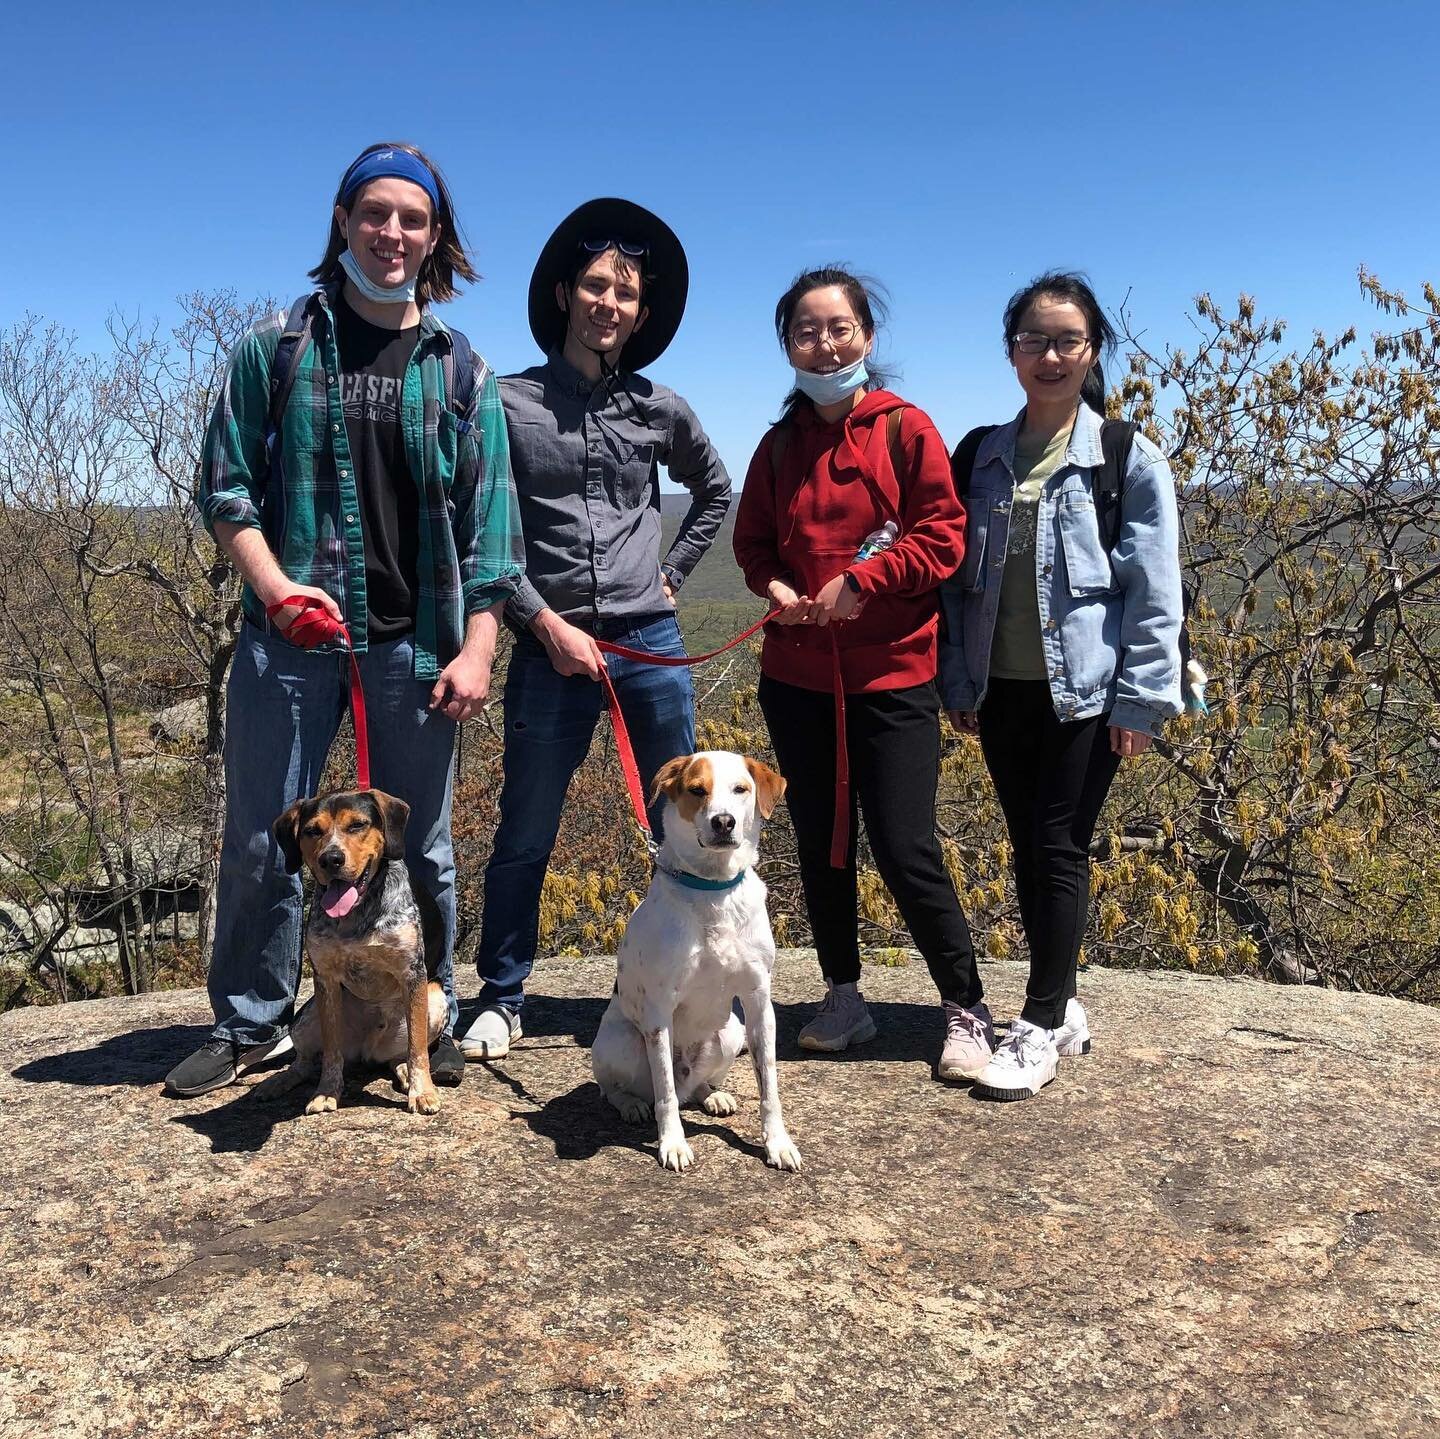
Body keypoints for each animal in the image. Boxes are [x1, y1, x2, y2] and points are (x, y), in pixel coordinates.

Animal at [259, 795, 446, 1117]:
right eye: (311, 830)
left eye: (358, 825)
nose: (331, 859)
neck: (357, 914)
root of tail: (366, 1052)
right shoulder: (325, 980)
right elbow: (331, 1053)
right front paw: (326, 1092)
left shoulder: (413, 974)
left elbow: (418, 1049)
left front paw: (423, 1092)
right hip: (307, 1017)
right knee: (304, 1063)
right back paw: (277, 1082)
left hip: (435, 998)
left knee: (400, 1056)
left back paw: (406, 1075)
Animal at [590, 754, 806, 1169]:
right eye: (696, 790)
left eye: (740, 789)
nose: (723, 822)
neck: (713, 889)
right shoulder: (660, 1011)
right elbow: (666, 1096)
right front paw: (672, 1143)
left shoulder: (758, 1001)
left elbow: (768, 1085)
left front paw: (777, 1143)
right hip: (622, 1040)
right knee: (623, 1089)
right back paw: (631, 1104)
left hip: (731, 1032)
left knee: (693, 1088)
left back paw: (711, 1094)